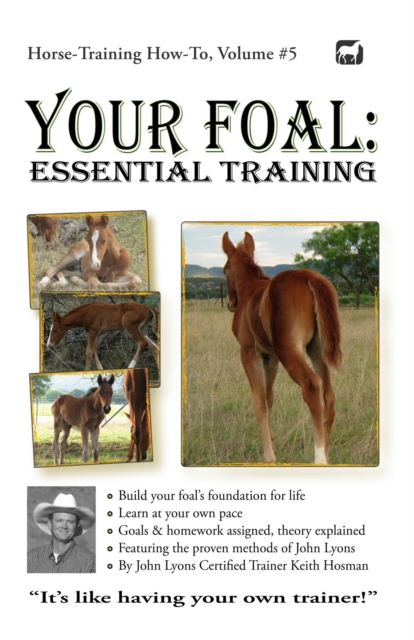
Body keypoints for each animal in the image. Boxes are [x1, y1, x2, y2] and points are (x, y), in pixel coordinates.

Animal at [222, 232, 342, 465]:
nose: (231, 303)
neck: (250, 289)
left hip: (290, 349)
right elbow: (269, 398)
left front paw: (269, 456)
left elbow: (259, 401)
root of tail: (308, 276)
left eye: (224, 270)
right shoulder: (271, 356)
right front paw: (272, 440)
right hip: (316, 349)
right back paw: (327, 454)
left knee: (312, 386)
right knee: (328, 395)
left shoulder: (249, 353)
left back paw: (319, 458)